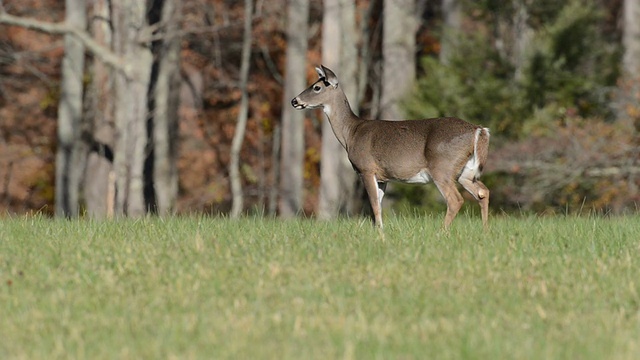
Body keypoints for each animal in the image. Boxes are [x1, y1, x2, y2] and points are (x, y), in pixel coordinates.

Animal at [292, 66, 492, 231]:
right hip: (466, 171)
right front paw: (378, 232)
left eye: (317, 87)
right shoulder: (383, 177)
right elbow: (377, 207)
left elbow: (374, 205)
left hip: (442, 167)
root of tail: (478, 129)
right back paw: (484, 231)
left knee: (455, 200)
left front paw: (380, 235)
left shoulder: (366, 168)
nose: (294, 100)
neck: (351, 133)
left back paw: (441, 233)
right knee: (483, 191)